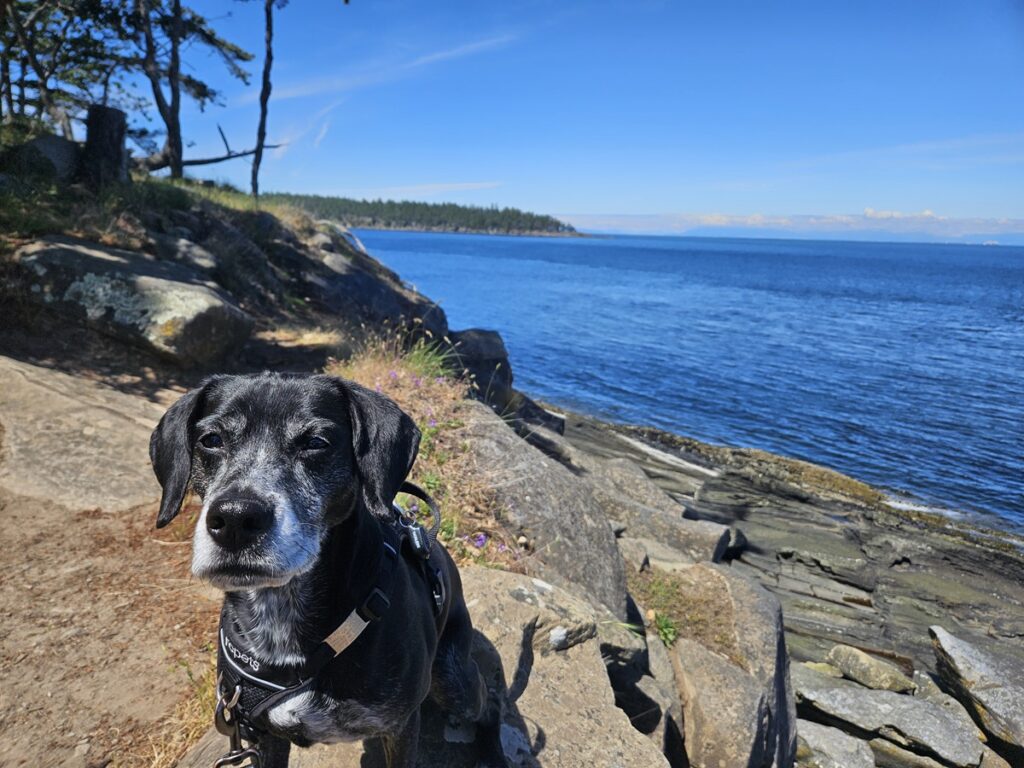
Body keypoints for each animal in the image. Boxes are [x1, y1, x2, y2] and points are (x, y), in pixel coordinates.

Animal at [147, 374, 503, 768]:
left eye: (316, 443)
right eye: (211, 440)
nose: (235, 520)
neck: (281, 616)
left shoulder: (400, 726)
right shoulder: (261, 733)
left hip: (452, 679)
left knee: (490, 702)